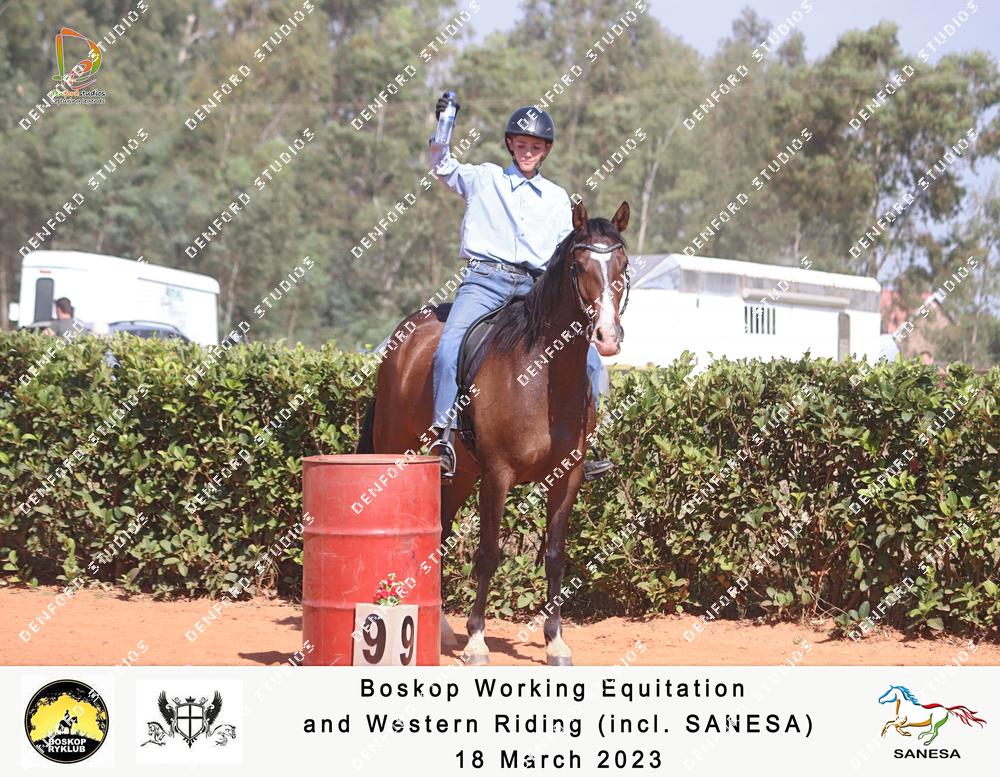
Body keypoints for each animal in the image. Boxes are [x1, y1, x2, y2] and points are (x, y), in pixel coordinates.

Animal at [357, 200, 631, 665]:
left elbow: (555, 555)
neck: (542, 376)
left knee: (441, 532)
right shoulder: (497, 476)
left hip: (460, 475)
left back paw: (441, 630)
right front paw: (477, 641)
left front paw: (555, 641)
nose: (607, 337)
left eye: (623, 264)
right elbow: (487, 555)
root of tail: (404, 335)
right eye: (579, 266)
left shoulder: (568, 477)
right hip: (399, 451)